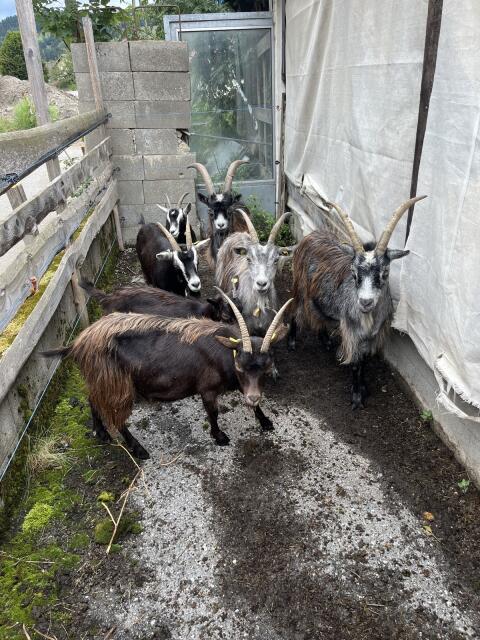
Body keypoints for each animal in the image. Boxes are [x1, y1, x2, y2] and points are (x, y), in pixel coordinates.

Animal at [44, 291, 292, 460]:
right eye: (240, 366)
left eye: (266, 368)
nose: (253, 397)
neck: (224, 349)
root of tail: (78, 342)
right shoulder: (208, 388)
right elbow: (213, 412)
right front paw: (219, 436)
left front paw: (265, 420)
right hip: (117, 384)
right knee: (117, 417)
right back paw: (138, 449)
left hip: (99, 378)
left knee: (93, 399)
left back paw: (101, 432)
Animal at [289, 195, 427, 409]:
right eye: (354, 273)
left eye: (385, 273)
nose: (365, 302)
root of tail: (311, 235)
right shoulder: (352, 332)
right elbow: (355, 364)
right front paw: (356, 398)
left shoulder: (372, 336)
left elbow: (365, 362)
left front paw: (364, 388)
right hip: (300, 286)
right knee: (294, 309)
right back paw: (292, 341)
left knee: (318, 313)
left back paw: (325, 340)